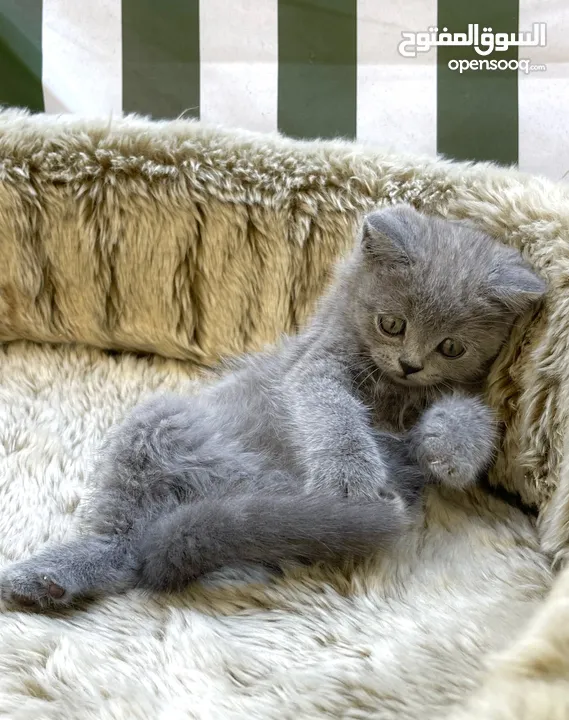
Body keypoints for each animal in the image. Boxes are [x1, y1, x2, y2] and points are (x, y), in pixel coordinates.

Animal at [0, 204, 544, 608]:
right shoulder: (314, 365)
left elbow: (472, 413)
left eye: (451, 347)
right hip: (154, 425)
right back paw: (46, 579)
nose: (410, 364)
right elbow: (330, 409)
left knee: (133, 553)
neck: (395, 394)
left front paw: (450, 454)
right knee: (124, 544)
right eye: (392, 324)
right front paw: (349, 480)